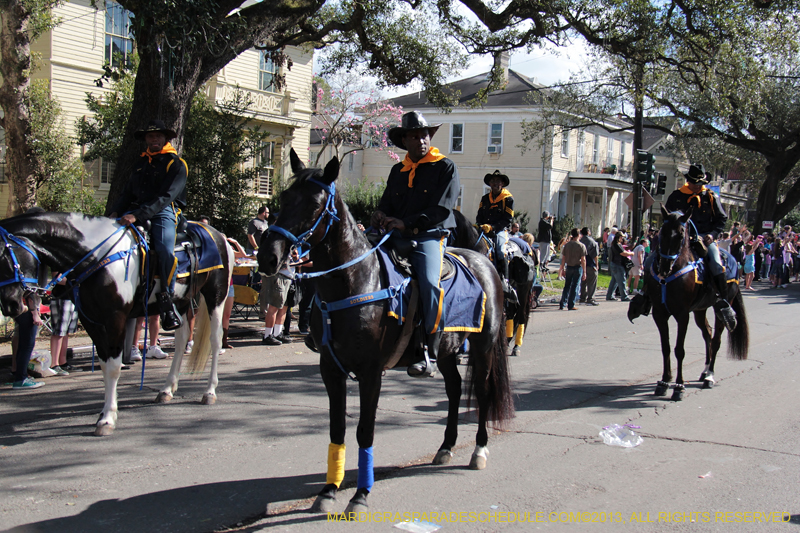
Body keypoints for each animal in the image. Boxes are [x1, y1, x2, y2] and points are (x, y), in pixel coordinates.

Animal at [0, 210, 233, 434]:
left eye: (3, 255)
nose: (10, 305)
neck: (95, 257)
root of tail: (220, 236)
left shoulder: (115, 318)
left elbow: (113, 366)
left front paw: (107, 419)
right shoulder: (92, 320)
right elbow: (105, 364)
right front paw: (104, 413)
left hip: (215, 296)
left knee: (215, 340)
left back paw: (209, 391)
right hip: (181, 301)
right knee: (181, 339)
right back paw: (167, 389)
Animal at [260, 150, 516, 512]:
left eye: (314, 204)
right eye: (283, 198)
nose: (267, 257)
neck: (354, 281)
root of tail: (487, 263)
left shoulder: (371, 373)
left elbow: (364, 431)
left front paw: (360, 495)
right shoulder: (331, 370)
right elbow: (337, 429)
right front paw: (328, 491)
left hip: (482, 349)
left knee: (481, 392)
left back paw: (478, 450)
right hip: (447, 352)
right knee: (453, 391)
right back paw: (446, 447)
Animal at [632, 206, 752, 402]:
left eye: (681, 234)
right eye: (662, 232)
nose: (664, 267)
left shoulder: (682, 315)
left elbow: (679, 349)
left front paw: (679, 387)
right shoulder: (660, 314)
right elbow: (666, 347)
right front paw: (664, 382)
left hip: (720, 308)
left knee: (716, 339)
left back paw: (709, 376)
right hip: (700, 310)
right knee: (708, 334)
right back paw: (704, 371)